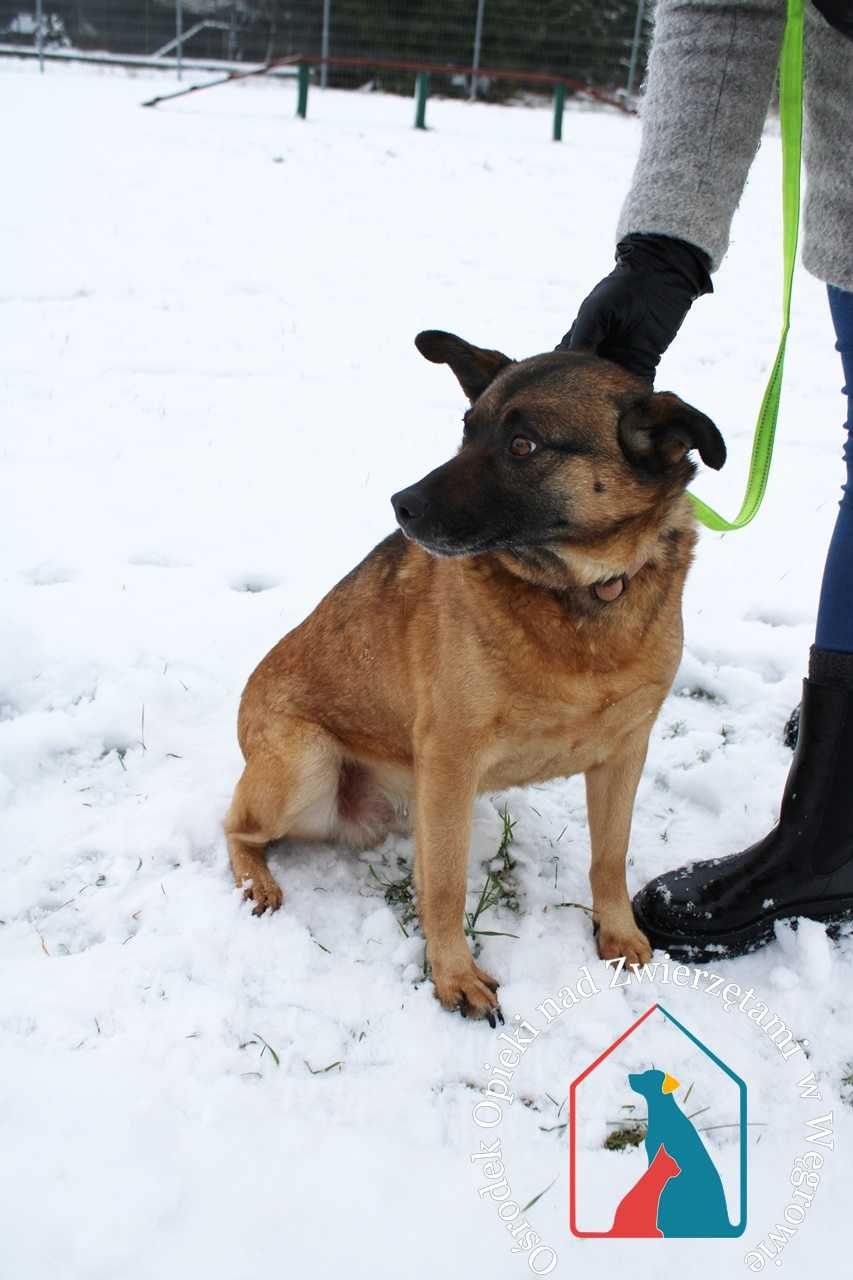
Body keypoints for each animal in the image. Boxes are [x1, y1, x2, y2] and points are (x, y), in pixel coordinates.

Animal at [222, 335, 722, 1024]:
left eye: (523, 445)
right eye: (466, 429)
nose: (401, 506)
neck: (580, 593)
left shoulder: (624, 752)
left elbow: (609, 856)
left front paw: (618, 933)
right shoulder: (451, 758)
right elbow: (446, 884)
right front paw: (454, 976)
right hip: (308, 764)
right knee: (235, 828)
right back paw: (258, 880)